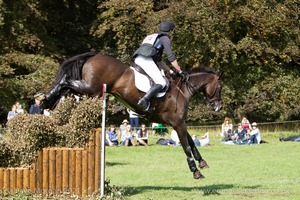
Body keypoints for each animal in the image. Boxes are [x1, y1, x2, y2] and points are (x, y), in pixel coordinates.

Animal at [41, 52, 223, 180]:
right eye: (220, 87)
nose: (219, 106)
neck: (183, 90)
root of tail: (93, 56)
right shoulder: (178, 123)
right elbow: (186, 146)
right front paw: (196, 172)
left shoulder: (178, 123)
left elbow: (191, 142)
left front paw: (202, 162)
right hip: (91, 88)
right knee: (66, 81)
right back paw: (45, 99)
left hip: (88, 90)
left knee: (66, 86)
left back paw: (47, 100)